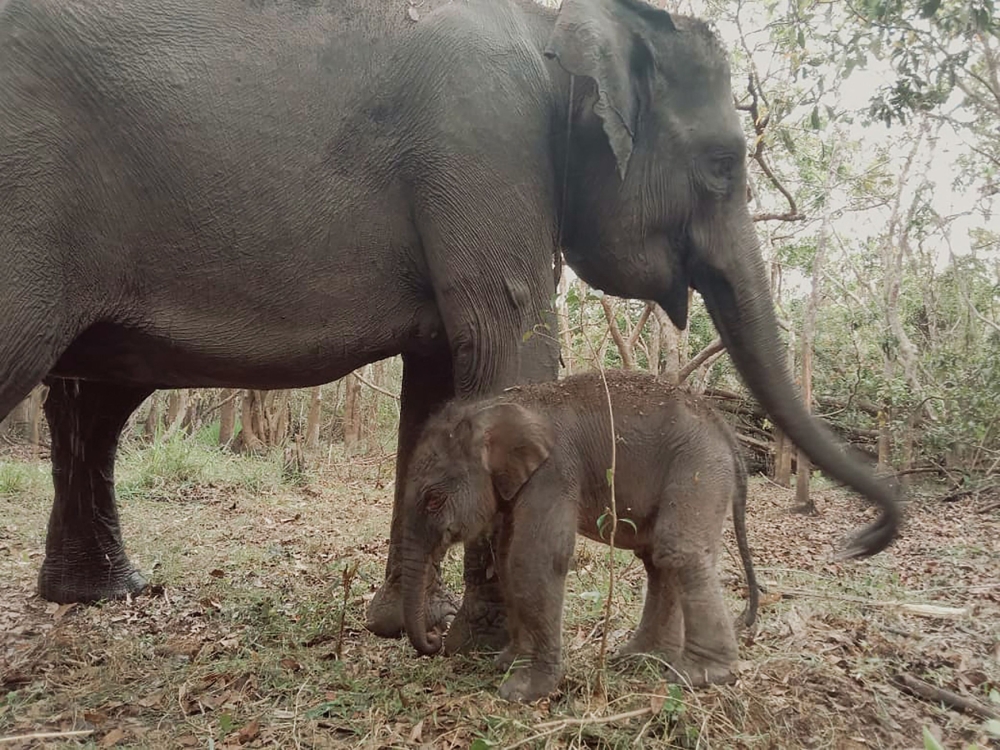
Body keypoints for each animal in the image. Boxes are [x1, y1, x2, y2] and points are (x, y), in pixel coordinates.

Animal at [0, 0, 899, 655]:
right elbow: (509, 352)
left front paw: (404, 626)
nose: (866, 538)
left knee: (91, 403)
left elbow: (437, 386)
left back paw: (105, 595)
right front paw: (490, 645)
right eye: (722, 165)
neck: (557, 29)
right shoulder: (487, 145)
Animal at [399, 370, 760, 702]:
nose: (434, 638)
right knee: (657, 558)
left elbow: (535, 558)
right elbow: (506, 556)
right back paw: (640, 659)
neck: (498, 405)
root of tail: (725, 429)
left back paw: (700, 676)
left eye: (433, 500)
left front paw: (522, 691)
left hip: (699, 467)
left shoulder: (555, 471)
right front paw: (508, 663)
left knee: (677, 550)